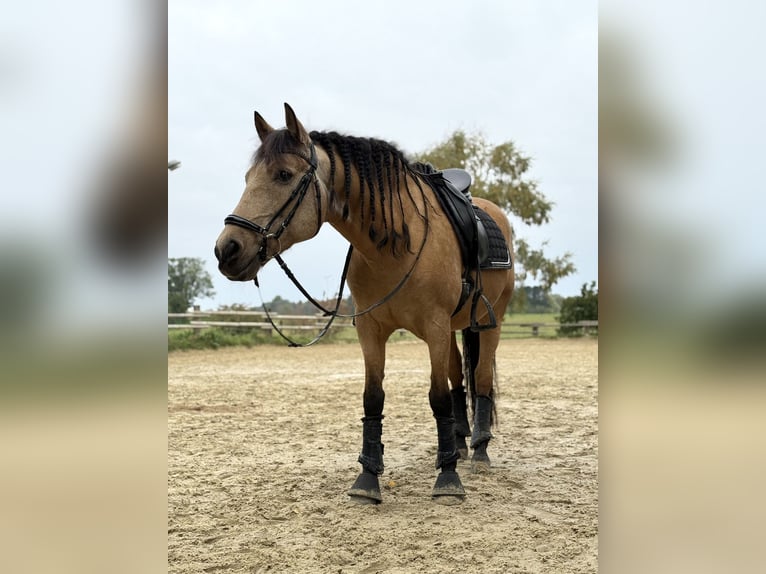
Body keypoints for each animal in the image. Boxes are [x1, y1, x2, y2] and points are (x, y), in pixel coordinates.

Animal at [214, 103, 514, 505]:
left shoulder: (434, 327)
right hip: (454, 327)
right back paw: (460, 444)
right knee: (458, 379)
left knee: (480, 379)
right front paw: (368, 478)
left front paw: (448, 478)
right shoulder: (372, 329)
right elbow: (373, 398)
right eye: (248, 176)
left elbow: (436, 398)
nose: (227, 249)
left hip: (490, 322)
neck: (397, 244)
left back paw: (479, 450)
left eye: (283, 174)